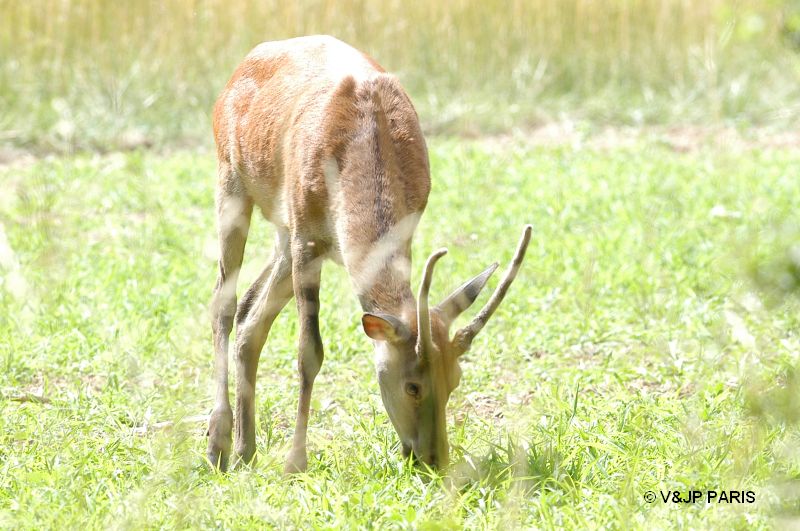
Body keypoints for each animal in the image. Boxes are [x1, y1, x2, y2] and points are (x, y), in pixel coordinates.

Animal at [206, 34, 532, 474]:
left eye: (456, 379)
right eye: (412, 385)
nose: (433, 460)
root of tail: (243, 64)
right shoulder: (306, 236)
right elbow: (309, 351)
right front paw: (295, 462)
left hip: (282, 232)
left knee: (250, 316)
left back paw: (245, 448)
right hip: (231, 181)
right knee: (223, 303)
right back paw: (218, 444)